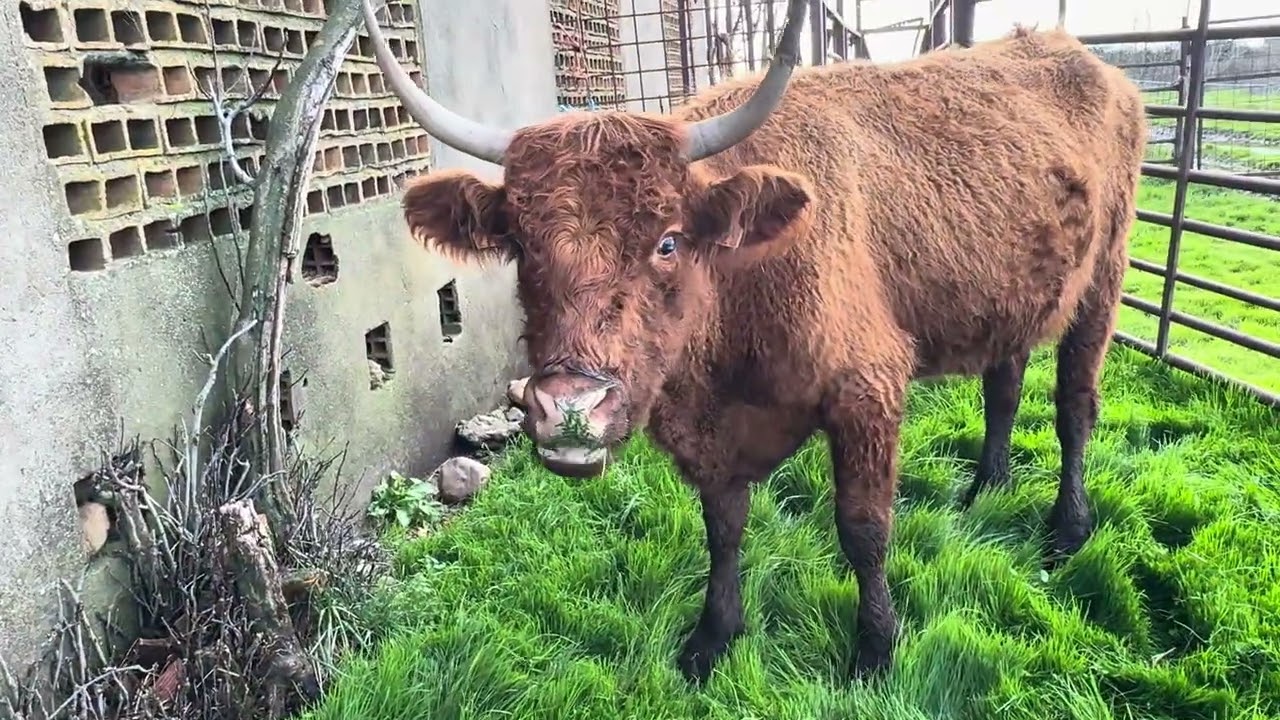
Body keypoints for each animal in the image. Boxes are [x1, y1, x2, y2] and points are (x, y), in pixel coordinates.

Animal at [361, 0, 1146, 684]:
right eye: (521, 246)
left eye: (669, 240)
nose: (570, 411)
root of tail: (1087, 63)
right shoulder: (711, 436)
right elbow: (723, 526)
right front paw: (713, 636)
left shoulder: (868, 390)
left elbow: (863, 527)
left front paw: (875, 650)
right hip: (1014, 295)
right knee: (1004, 384)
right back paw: (987, 486)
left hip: (1103, 281)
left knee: (1075, 403)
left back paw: (1068, 527)